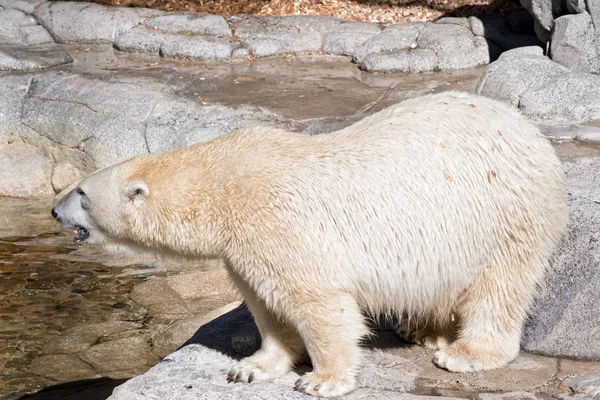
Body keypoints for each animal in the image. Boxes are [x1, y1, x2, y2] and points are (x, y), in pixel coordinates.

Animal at [51, 91, 568, 396]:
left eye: (81, 192)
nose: (54, 210)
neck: (223, 184)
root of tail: (529, 129)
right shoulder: (244, 247)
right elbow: (266, 304)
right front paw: (251, 367)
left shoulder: (278, 223)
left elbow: (319, 304)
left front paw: (322, 380)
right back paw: (423, 330)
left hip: (503, 215)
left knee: (499, 287)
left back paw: (464, 353)